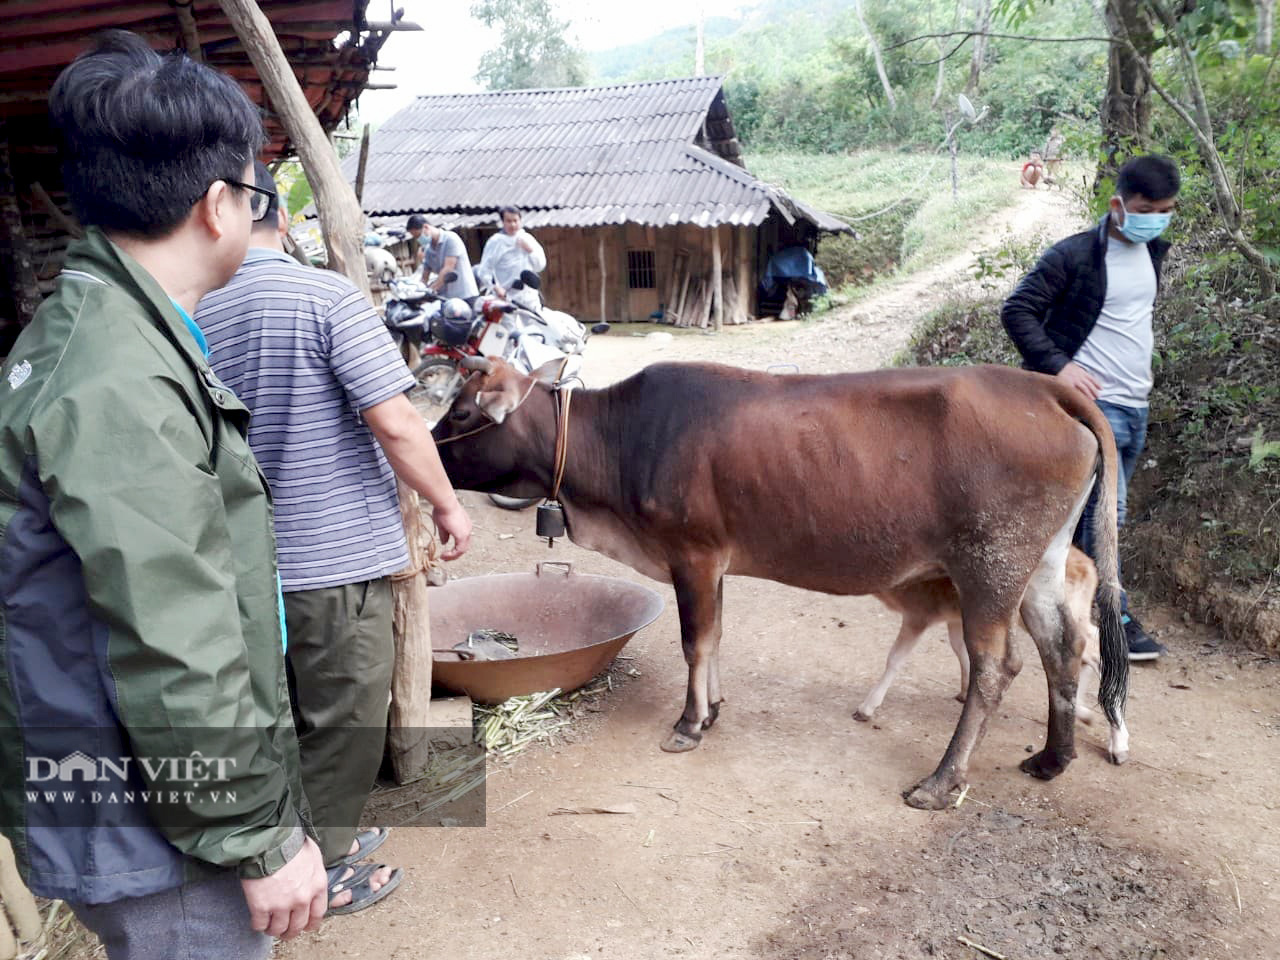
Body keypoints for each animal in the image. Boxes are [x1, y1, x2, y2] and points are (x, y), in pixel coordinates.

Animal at [432, 360, 1131, 814]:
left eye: (462, 411)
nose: (427, 454)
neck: (619, 447)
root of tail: (1046, 388)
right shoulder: (713, 563)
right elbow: (715, 638)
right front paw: (712, 709)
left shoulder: (692, 552)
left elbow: (695, 641)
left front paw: (689, 723)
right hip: (1038, 563)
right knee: (1062, 648)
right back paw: (1052, 758)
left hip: (992, 564)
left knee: (995, 667)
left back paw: (940, 782)